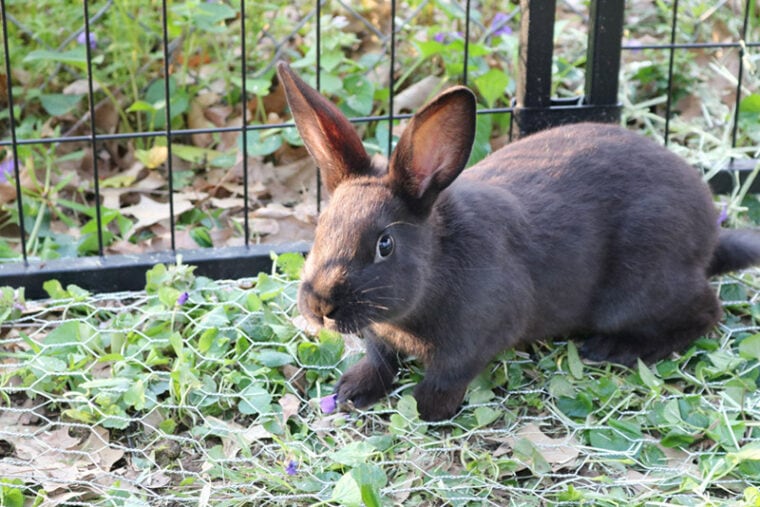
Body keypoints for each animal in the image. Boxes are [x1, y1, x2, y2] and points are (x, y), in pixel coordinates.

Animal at [276, 62, 760, 421]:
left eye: (385, 245)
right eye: (321, 227)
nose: (319, 305)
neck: (434, 271)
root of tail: (708, 231)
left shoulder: (478, 334)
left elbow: (447, 376)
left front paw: (426, 408)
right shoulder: (380, 338)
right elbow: (380, 361)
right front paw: (351, 391)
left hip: (639, 287)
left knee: (707, 311)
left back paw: (611, 349)